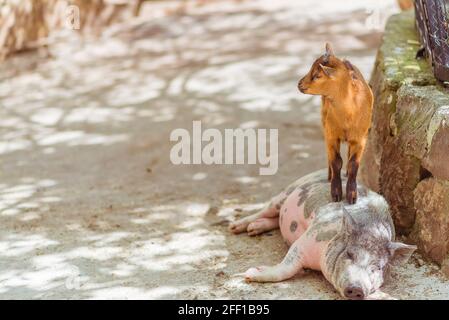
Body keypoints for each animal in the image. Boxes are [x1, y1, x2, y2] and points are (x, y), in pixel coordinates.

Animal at [229, 170, 414, 300]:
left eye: (377, 268)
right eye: (349, 254)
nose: (357, 289)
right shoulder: (309, 238)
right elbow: (287, 267)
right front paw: (250, 273)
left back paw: (253, 229)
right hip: (287, 192)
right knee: (266, 209)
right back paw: (236, 227)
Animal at [298, 43, 374, 205]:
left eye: (317, 75)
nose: (299, 84)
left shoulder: (360, 139)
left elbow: (353, 164)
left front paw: (352, 195)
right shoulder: (332, 135)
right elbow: (336, 162)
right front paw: (336, 193)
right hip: (324, 122)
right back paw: (329, 175)